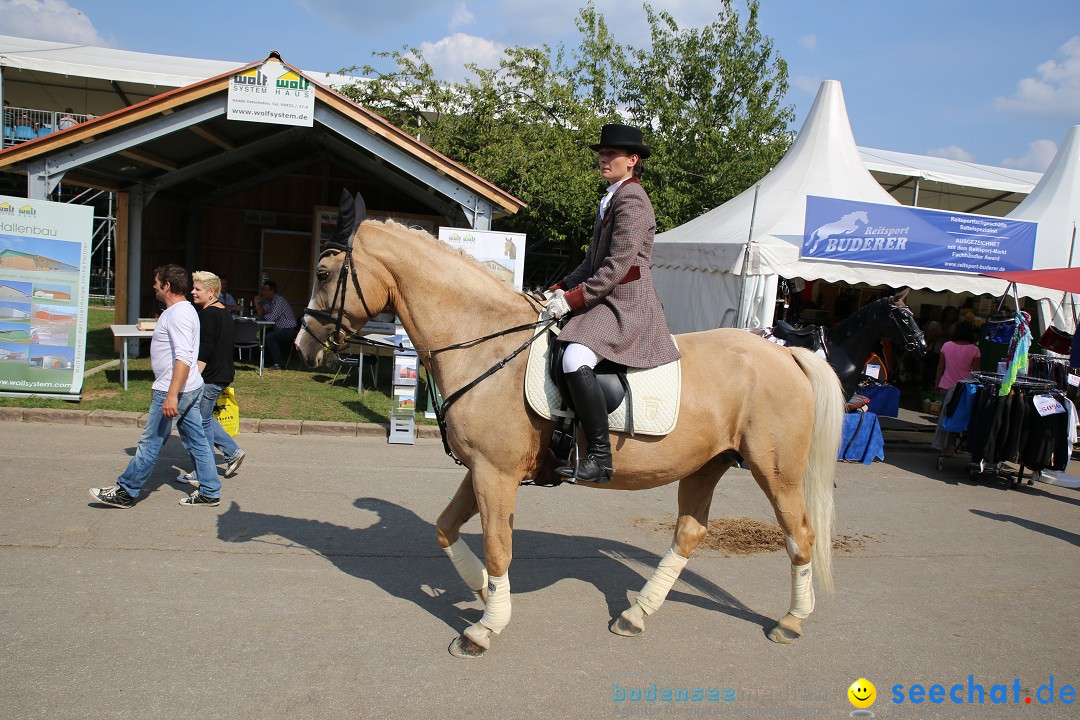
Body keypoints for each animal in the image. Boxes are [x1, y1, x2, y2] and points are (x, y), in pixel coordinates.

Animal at [300, 194, 846, 656]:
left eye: (325, 273)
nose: (303, 346)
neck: (487, 344)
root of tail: (784, 353)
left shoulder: (495, 474)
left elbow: (498, 548)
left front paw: (485, 627)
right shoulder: (481, 470)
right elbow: (445, 528)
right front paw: (481, 590)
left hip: (775, 472)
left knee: (800, 536)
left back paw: (791, 621)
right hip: (705, 466)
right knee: (689, 534)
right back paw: (635, 615)